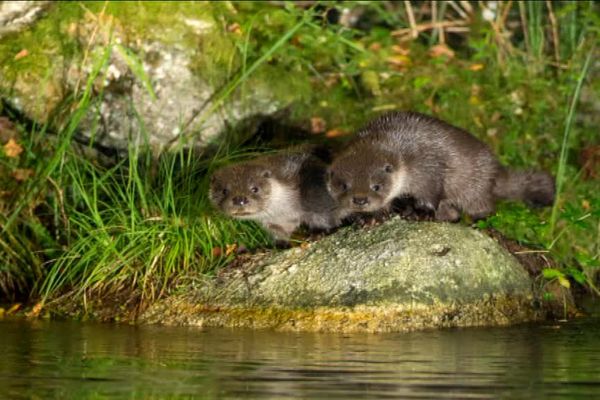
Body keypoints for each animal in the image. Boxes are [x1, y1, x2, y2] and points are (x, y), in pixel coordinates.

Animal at [210, 151, 346, 241]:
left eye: (255, 189)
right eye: (224, 191)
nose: (239, 199)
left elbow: (324, 216)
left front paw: (318, 233)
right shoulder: (275, 223)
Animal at [326, 111, 556, 220]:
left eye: (376, 186)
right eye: (344, 185)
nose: (360, 200)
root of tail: (495, 170)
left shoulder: (426, 168)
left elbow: (430, 191)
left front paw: (421, 213)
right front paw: (370, 218)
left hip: (475, 186)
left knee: (484, 207)